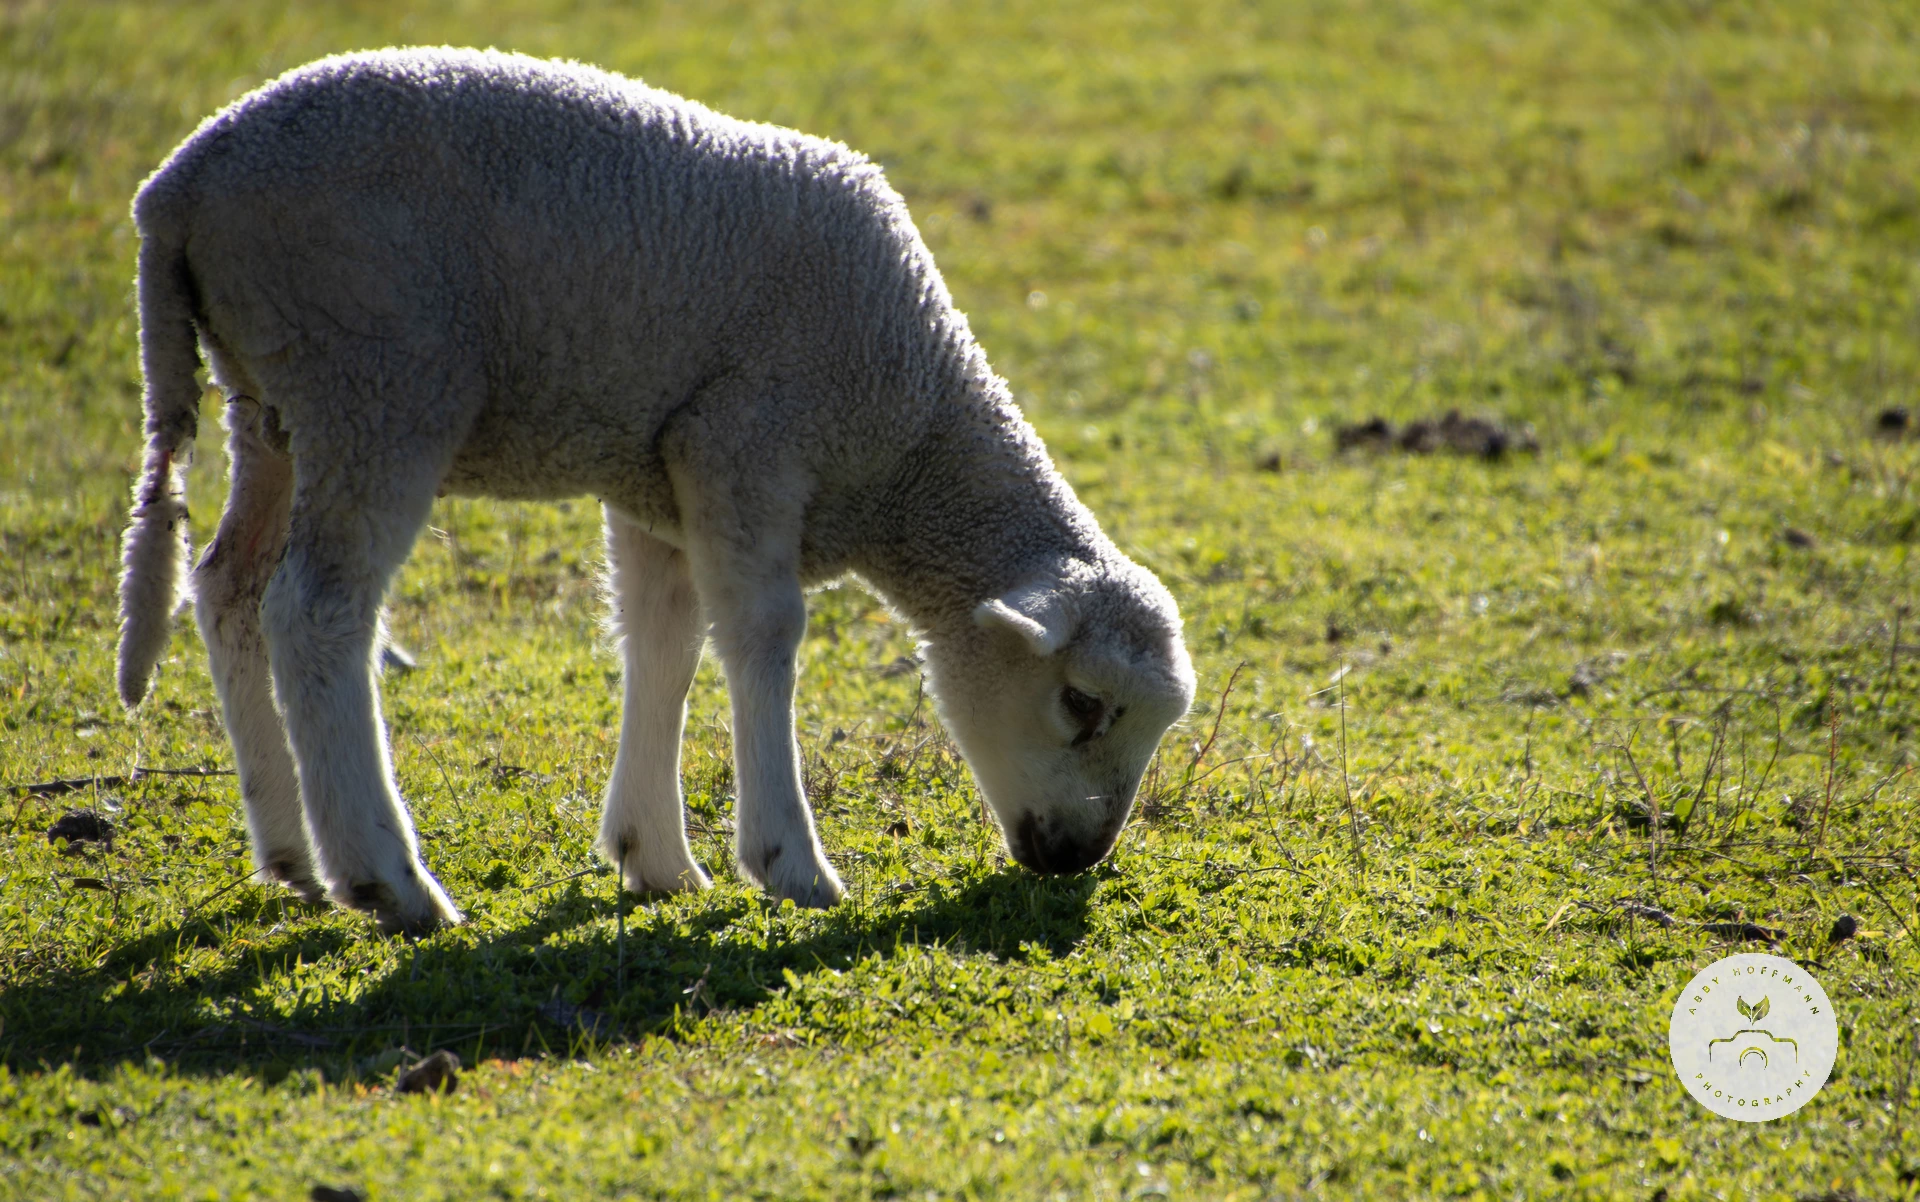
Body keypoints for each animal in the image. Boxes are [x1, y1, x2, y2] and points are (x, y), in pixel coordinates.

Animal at [116, 47, 1196, 935]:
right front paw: (789, 861)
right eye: (1083, 703)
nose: (1078, 856)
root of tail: (177, 190)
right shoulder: (747, 441)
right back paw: (389, 878)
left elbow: (664, 644)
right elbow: (762, 636)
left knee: (227, 587)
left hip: (268, 400)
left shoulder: (660, 480)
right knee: (317, 610)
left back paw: (291, 855)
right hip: (372, 377)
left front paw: (655, 856)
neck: (909, 440)